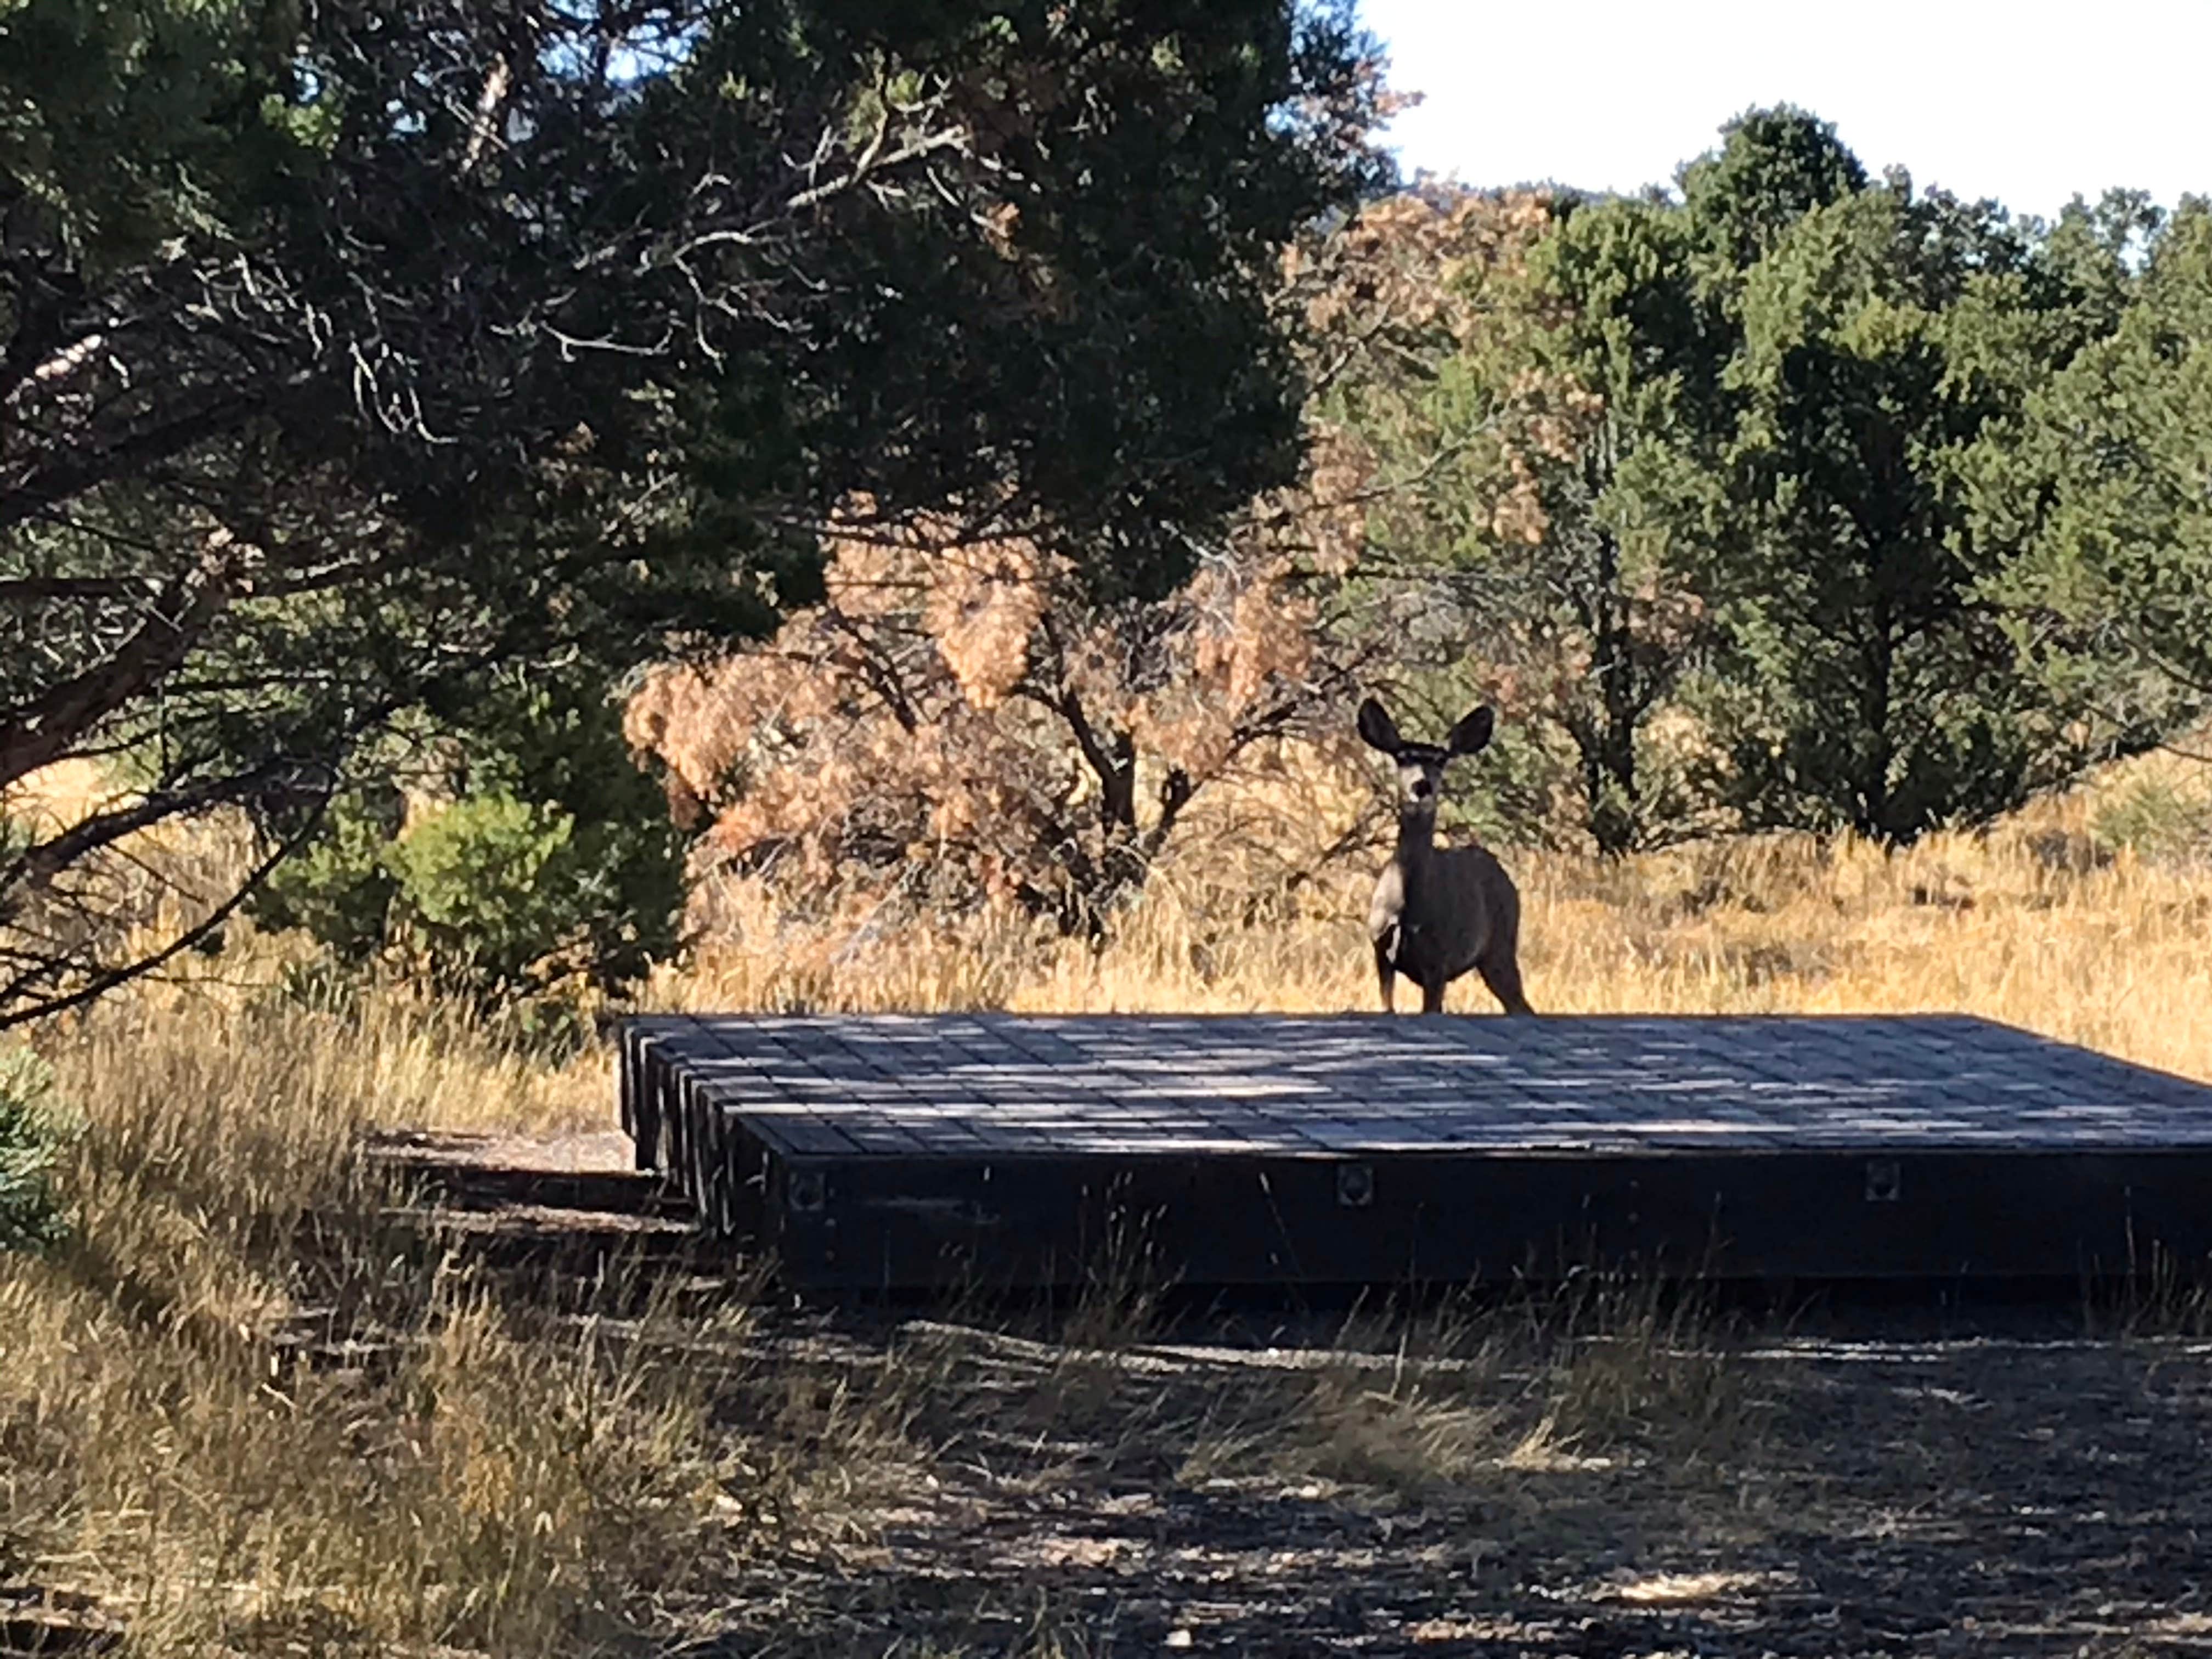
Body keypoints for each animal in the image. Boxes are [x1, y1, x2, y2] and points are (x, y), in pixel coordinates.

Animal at [1357, 695, 1535, 1016]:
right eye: (1402, 757)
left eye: (1441, 760)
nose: (1421, 786)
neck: (1408, 908)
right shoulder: (1381, 949)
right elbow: (1388, 1008)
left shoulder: (1438, 961)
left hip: (1501, 947)